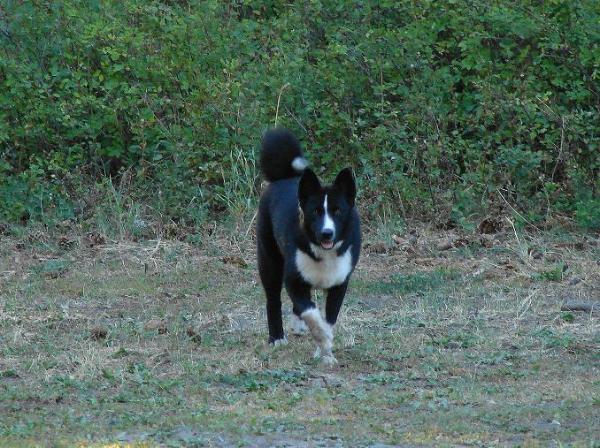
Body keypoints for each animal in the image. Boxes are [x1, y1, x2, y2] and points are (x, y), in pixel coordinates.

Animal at [254, 128, 360, 366]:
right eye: (316, 211)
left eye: (338, 211)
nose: (327, 233)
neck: (324, 253)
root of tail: (284, 178)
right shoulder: (293, 279)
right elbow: (311, 311)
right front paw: (323, 337)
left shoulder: (340, 284)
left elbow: (328, 317)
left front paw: (325, 353)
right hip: (269, 261)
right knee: (273, 300)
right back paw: (277, 338)